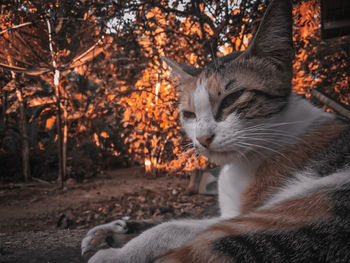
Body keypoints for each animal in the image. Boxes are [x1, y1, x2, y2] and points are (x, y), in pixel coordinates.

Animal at [82, 0, 350, 262]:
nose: (203, 138)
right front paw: (113, 231)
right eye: (189, 114)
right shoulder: (227, 213)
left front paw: (118, 253)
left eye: (232, 98)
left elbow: (168, 228)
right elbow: (180, 223)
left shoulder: (245, 216)